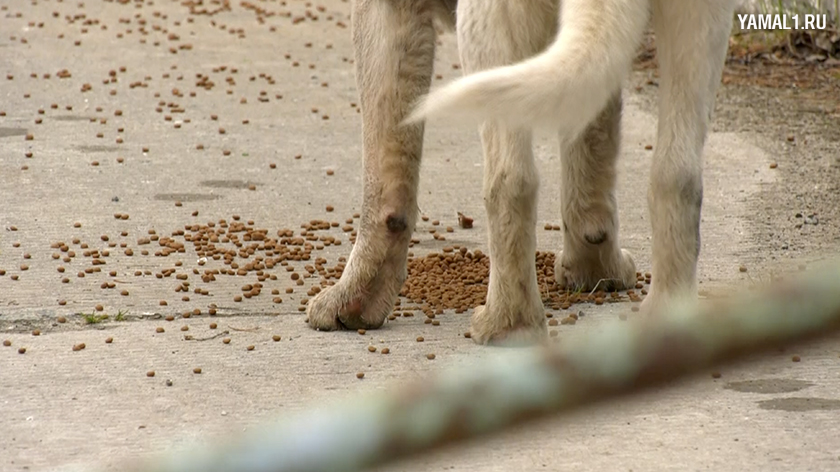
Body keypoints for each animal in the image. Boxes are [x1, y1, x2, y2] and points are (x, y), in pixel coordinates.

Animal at [306, 0, 736, 344]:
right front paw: (595, 269)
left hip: (490, 26)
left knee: (511, 178)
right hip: (700, 24)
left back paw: (508, 324)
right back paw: (669, 324)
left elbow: (381, 177)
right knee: (676, 171)